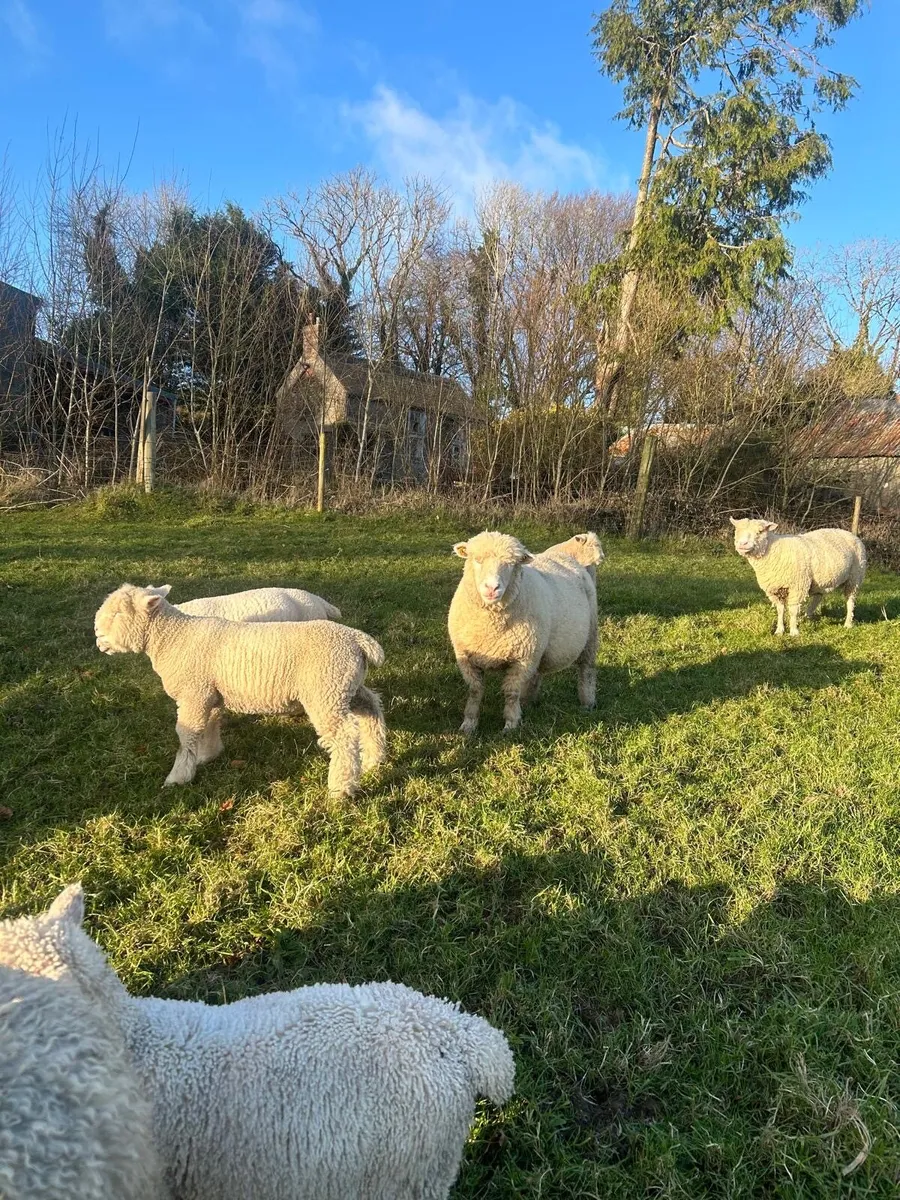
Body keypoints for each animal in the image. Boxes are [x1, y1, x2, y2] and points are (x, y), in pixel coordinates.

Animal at [94, 583, 386, 796]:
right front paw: (208, 755)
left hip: (326, 690)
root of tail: (358, 639)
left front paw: (179, 776)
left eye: (119, 613)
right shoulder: (208, 694)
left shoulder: (193, 694)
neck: (172, 636)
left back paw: (341, 789)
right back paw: (374, 759)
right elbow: (209, 724)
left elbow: (186, 734)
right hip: (346, 686)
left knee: (344, 736)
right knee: (371, 709)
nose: (97, 637)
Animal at [448, 530, 599, 734]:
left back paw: (587, 703)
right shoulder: (466, 658)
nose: (492, 588)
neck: (491, 624)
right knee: (536, 675)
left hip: (589, 637)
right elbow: (475, 691)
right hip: (539, 648)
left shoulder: (522, 660)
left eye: (511, 564)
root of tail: (567, 557)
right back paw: (528, 703)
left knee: (587, 670)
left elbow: (511, 693)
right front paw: (469, 724)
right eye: (477, 559)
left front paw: (510, 725)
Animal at [730, 517, 867, 636]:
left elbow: (792, 611)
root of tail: (851, 534)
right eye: (737, 531)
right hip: (821, 580)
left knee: (850, 601)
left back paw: (848, 623)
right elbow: (780, 610)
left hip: (855, 577)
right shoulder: (775, 590)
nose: (743, 544)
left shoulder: (797, 587)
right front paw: (779, 630)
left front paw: (794, 631)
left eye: (760, 531)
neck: (773, 550)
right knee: (818, 598)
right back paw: (807, 617)